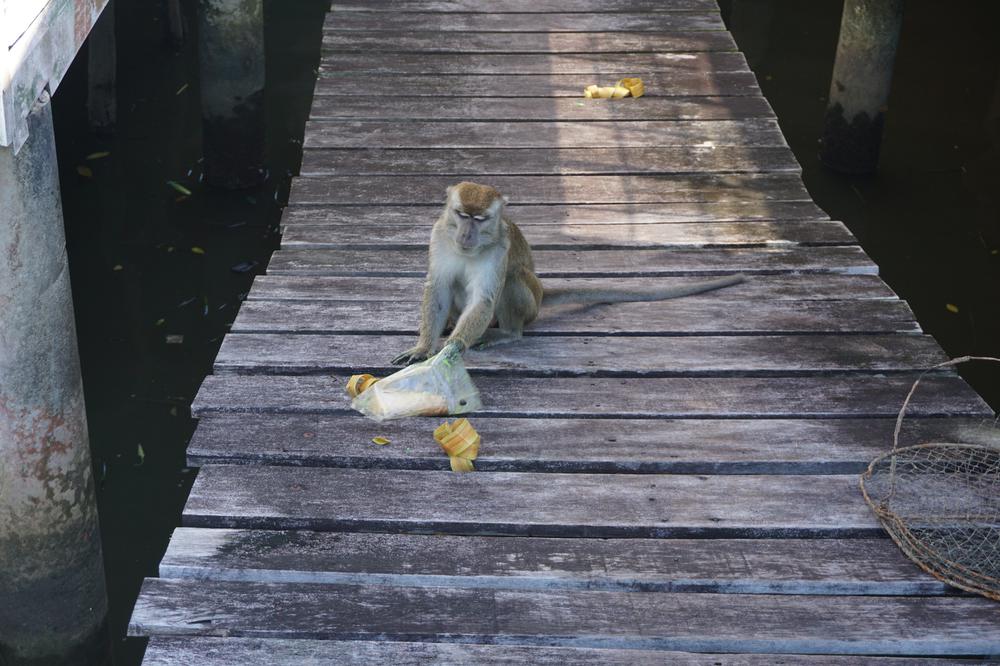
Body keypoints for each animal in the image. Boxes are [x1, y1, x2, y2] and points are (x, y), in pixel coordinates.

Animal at [390, 180, 744, 364]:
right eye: (461, 215)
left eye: (480, 220)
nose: (466, 235)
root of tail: (542, 294)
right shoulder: (439, 236)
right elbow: (438, 288)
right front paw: (423, 347)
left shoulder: (499, 249)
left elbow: (485, 298)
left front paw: (453, 348)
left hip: (530, 303)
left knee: (512, 280)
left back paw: (508, 333)